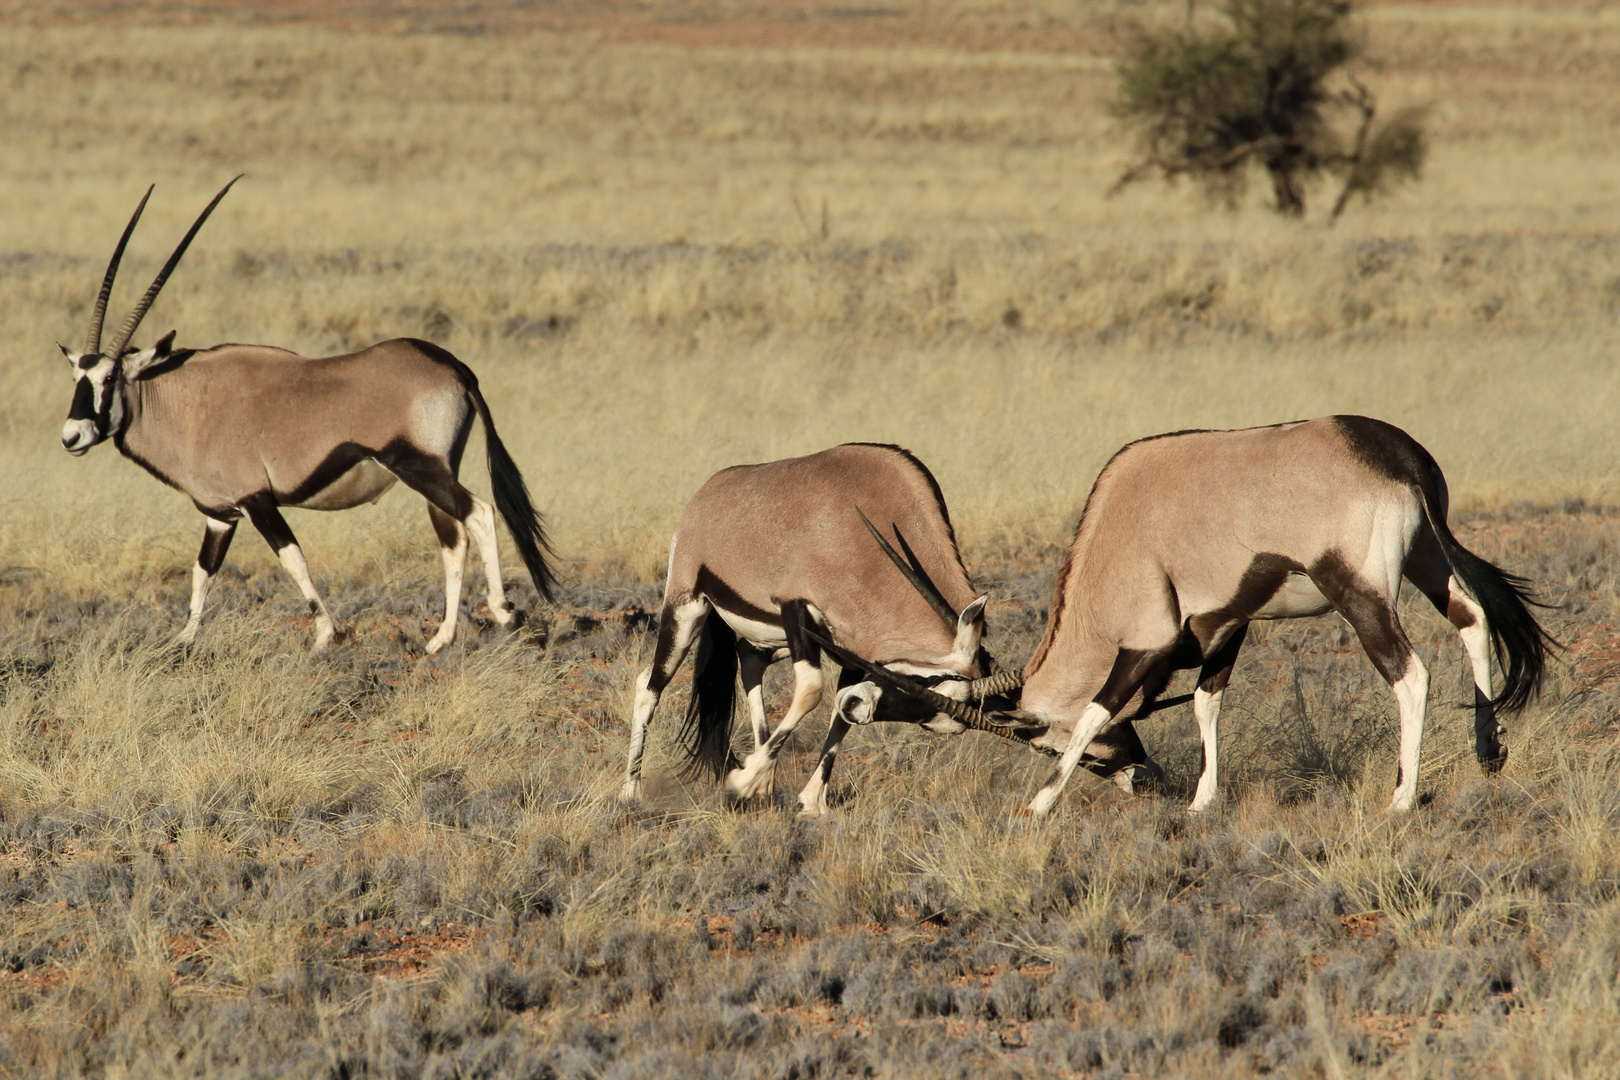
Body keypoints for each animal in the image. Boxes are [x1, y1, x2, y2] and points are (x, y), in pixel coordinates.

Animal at [58, 180, 557, 650]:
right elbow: (203, 572)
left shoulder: (257, 500)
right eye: (77, 377)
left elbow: (292, 559)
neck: (188, 402)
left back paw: (503, 612)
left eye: (109, 379)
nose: (71, 437)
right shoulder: (220, 513)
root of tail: (454, 367)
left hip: (419, 467)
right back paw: (441, 639)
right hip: (435, 473)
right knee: (453, 539)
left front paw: (324, 635)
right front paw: (184, 640)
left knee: (480, 513)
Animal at [618, 443, 1153, 816]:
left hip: (763, 640)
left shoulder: (856, 653)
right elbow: (812, 691)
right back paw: (630, 792)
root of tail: (709, 493)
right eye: (928, 682)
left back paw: (764, 781)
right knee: (649, 686)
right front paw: (738, 783)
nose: (862, 707)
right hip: (687, 609)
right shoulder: (799, 612)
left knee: (749, 671)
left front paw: (807, 801)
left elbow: (835, 714)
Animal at [816, 417, 1548, 819]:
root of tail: (1398, 457)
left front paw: (1038, 805)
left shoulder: (1146, 637)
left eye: (1043, 747)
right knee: (1472, 619)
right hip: (1427, 559)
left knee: (1410, 673)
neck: (1118, 528)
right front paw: (1201, 801)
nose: (1146, 779)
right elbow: (1205, 702)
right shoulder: (1225, 625)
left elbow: (1095, 710)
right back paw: (1489, 754)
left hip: (1360, 591)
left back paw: (1400, 798)